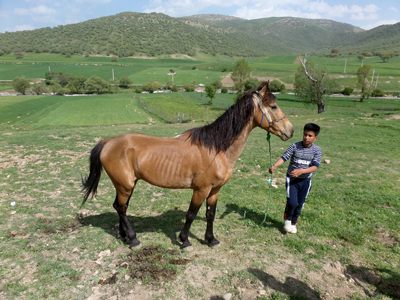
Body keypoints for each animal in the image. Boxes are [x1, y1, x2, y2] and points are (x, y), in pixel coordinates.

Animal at [81, 81, 294, 248]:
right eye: (273, 107)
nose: (290, 131)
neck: (216, 149)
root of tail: (108, 142)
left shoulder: (215, 190)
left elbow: (210, 214)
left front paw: (211, 239)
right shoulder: (201, 189)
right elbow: (191, 214)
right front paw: (184, 240)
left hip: (126, 185)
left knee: (120, 207)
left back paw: (125, 236)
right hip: (125, 185)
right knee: (121, 208)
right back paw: (133, 239)